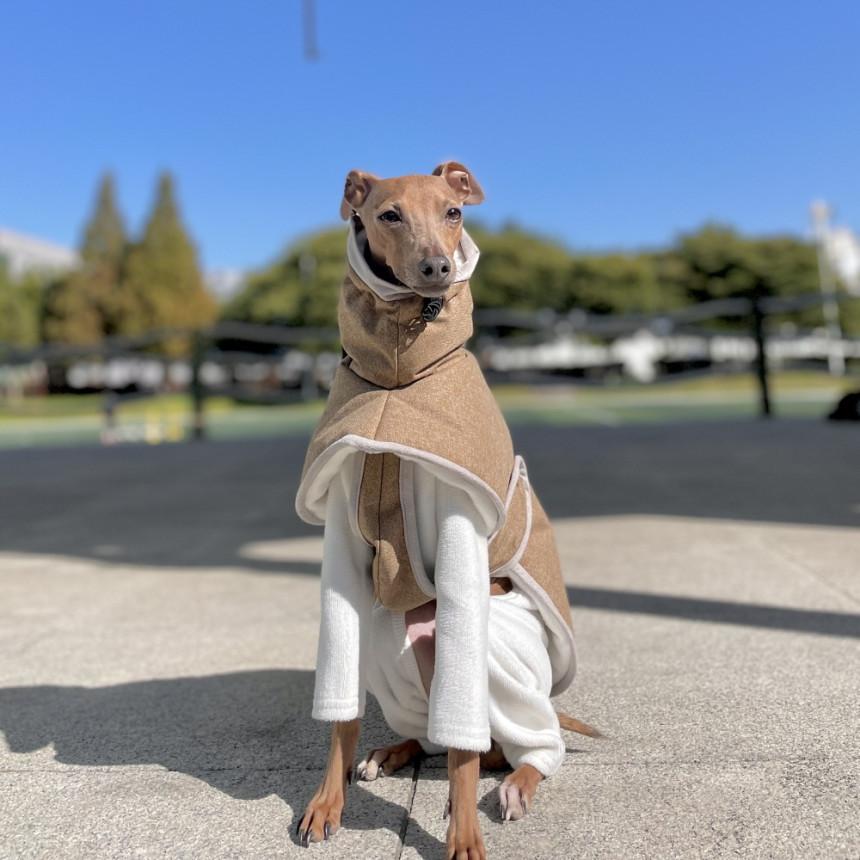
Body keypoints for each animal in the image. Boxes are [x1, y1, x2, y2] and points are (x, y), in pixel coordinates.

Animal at [292, 163, 596, 860]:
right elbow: (341, 713)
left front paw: (461, 836)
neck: (396, 374)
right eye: (389, 215)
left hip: (494, 652)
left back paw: (516, 782)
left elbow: (463, 751)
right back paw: (393, 751)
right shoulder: (341, 547)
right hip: (386, 633)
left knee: (518, 745)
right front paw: (326, 803)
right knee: (436, 732)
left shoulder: (462, 533)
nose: (436, 267)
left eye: (454, 212)